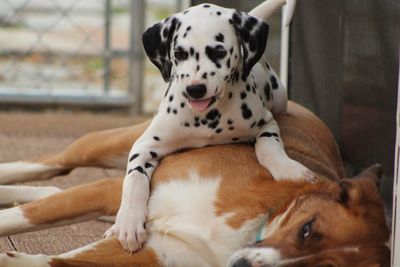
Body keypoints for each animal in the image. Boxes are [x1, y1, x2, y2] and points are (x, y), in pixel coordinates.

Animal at [0, 101, 390, 266]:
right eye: (307, 228)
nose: (242, 265)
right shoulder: (123, 192)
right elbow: (23, 217)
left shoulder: (155, 251)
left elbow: (55, 262)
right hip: (109, 145)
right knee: (55, 167)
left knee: (53, 187)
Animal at [104, 2, 316, 253]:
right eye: (179, 53)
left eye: (218, 52)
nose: (195, 88)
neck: (208, 117)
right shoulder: (145, 145)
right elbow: (134, 180)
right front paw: (127, 222)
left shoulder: (267, 124)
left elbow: (269, 149)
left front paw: (289, 169)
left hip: (280, 98)